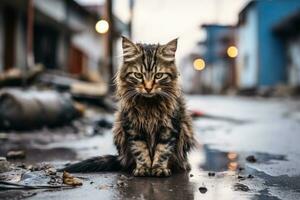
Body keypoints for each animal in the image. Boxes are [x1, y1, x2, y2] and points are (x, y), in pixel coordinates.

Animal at [62, 36, 196, 177]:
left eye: (158, 76)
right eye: (138, 75)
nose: (148, 88)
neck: (148, 105)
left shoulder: (169, 127)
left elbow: (163, 150)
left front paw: (158, 168)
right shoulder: (133, 127)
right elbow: (140, 150)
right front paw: (144, 168)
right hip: (118, 129)